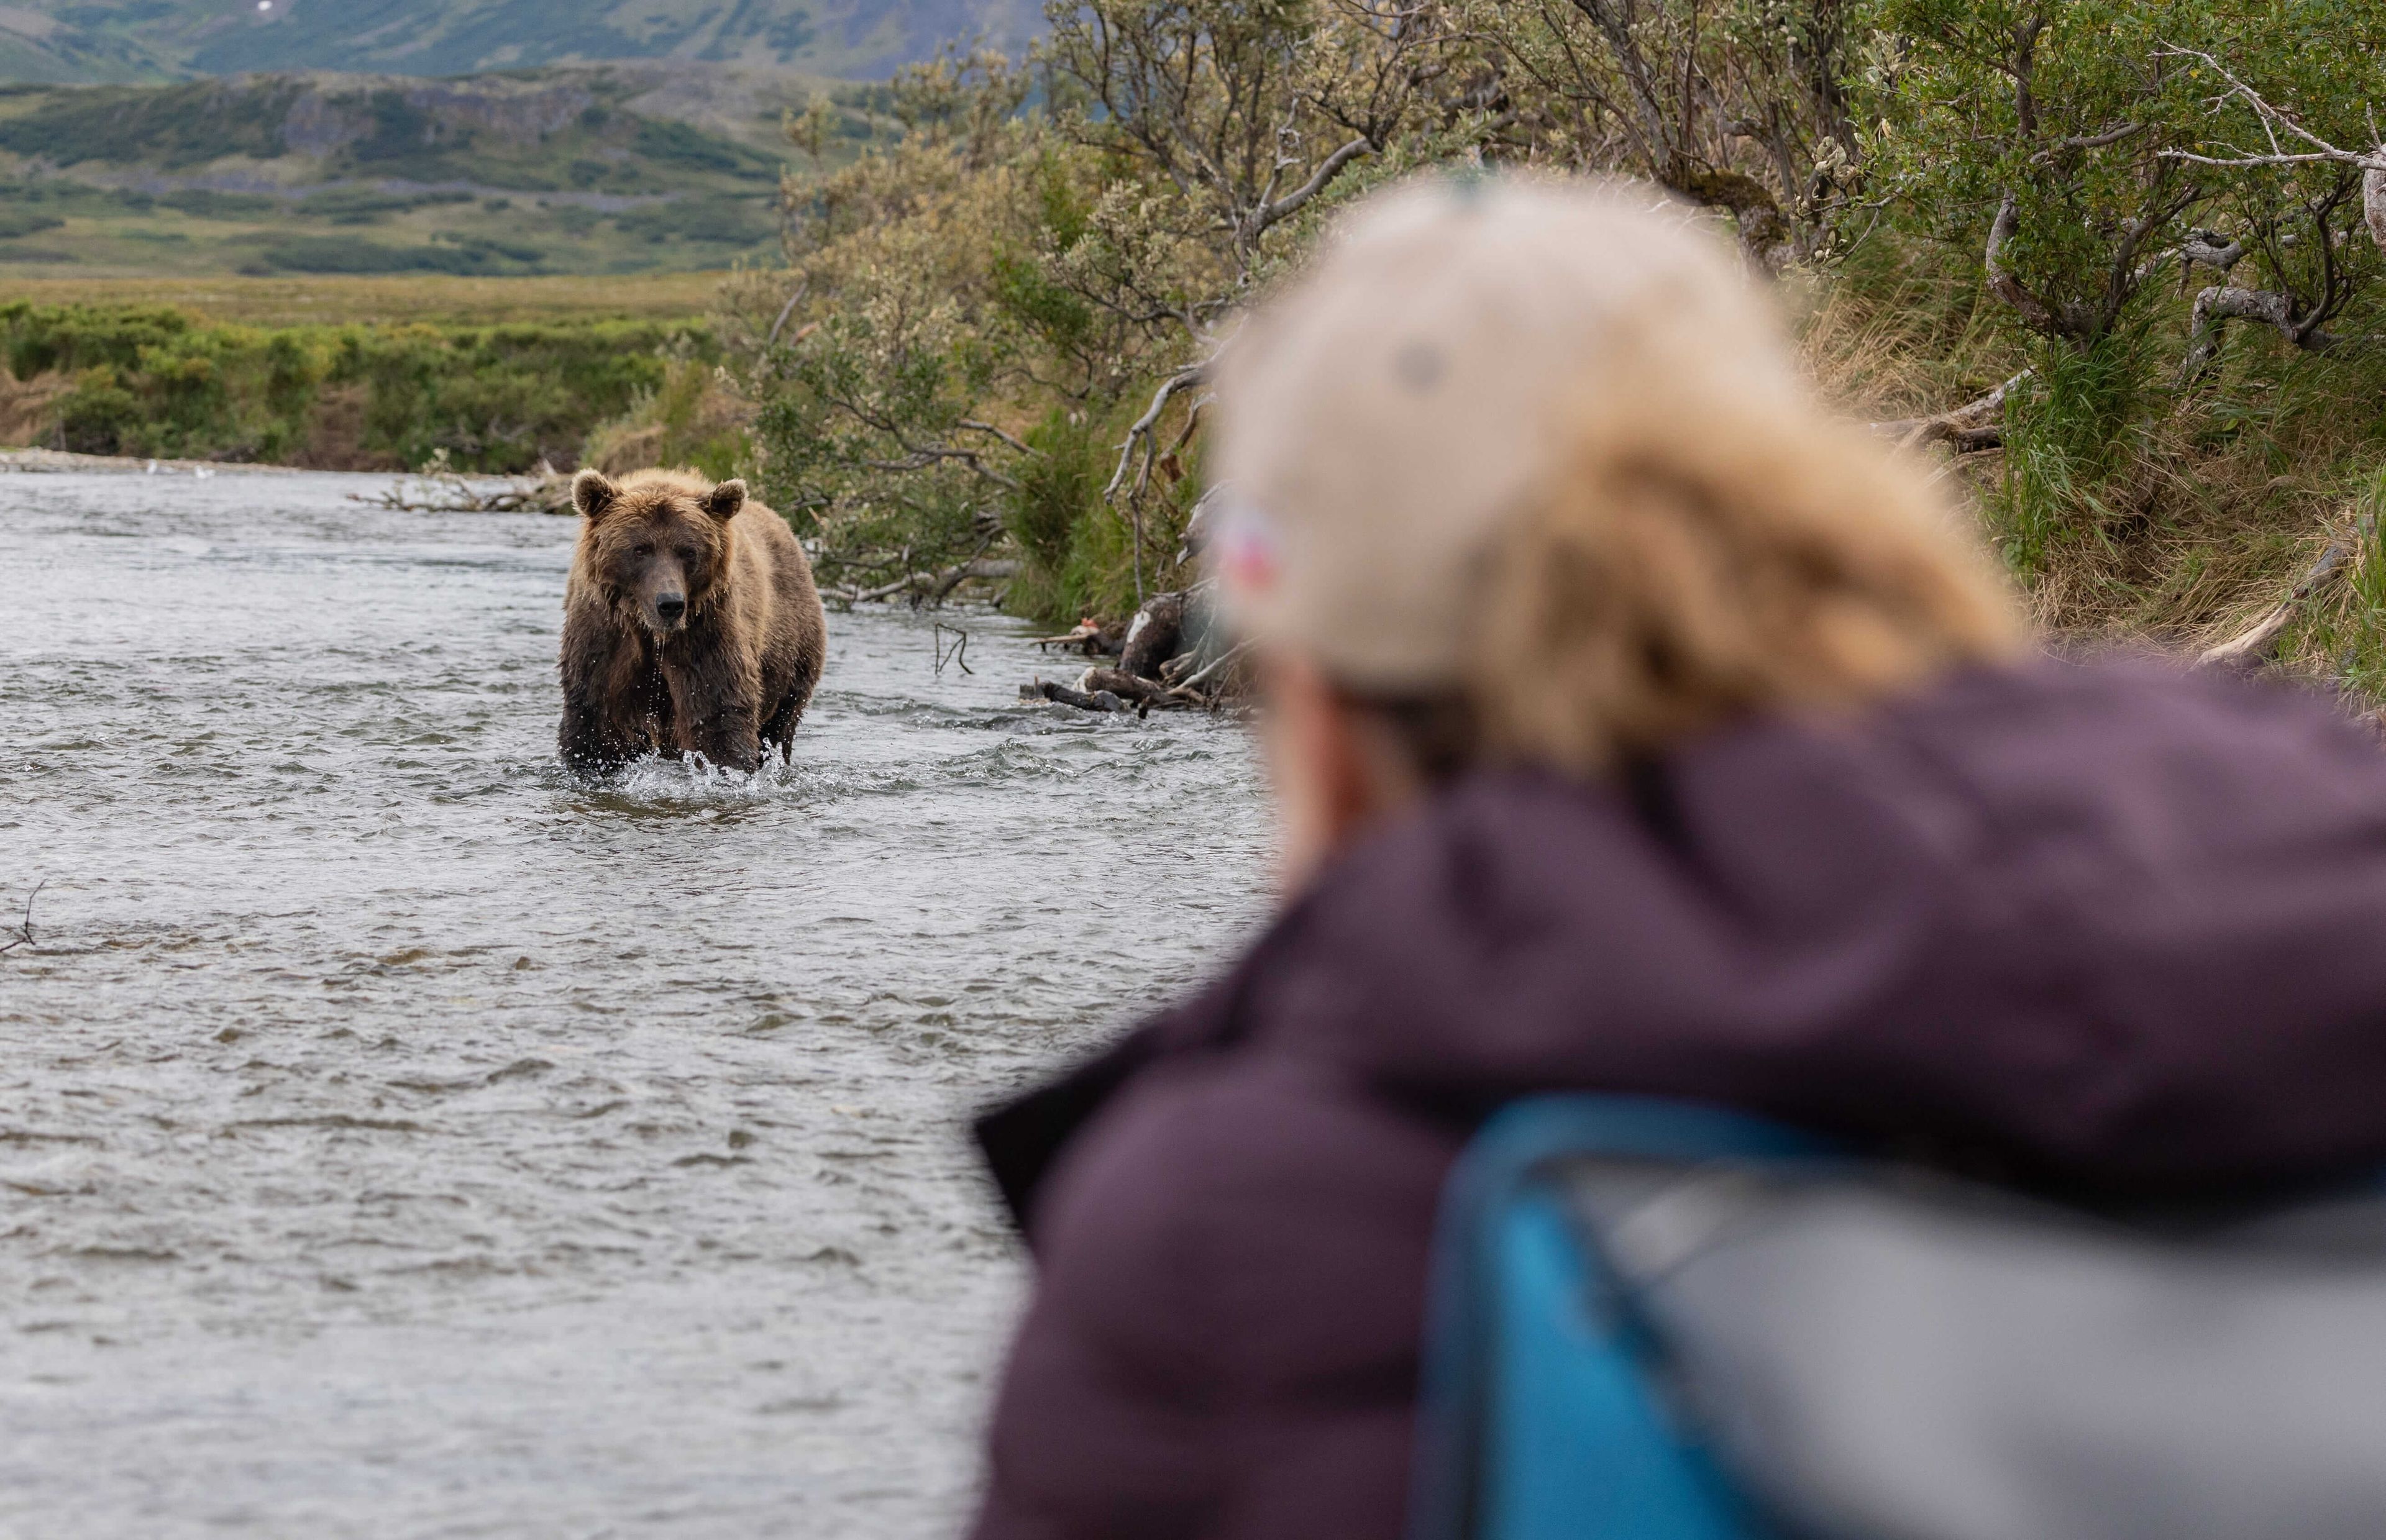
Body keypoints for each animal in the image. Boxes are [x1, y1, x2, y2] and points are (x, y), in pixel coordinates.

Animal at [557, 467, 826, 775]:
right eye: (640, 549)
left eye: (688, 551)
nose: (670, 604)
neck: (652, 634)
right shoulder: (603, 635)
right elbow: (595, 723)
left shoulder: (706, 629)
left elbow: (716, 715)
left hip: (793, 652)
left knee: (780, 723)